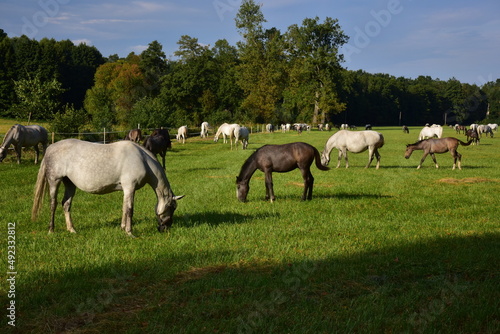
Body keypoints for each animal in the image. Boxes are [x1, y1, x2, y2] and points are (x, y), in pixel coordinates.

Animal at [31, 138, 185, 237]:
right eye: (172, 207)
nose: (165, 228)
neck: (142, 159)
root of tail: (50, 148)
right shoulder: (130, 187)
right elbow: (130, 210)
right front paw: (130, 233)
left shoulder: (126, 190)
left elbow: (124, 208)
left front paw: (123, 228)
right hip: (54, 181)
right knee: (53, 204)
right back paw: (51, 230)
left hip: (69, 183)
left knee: (66, 204)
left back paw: (72, 229)